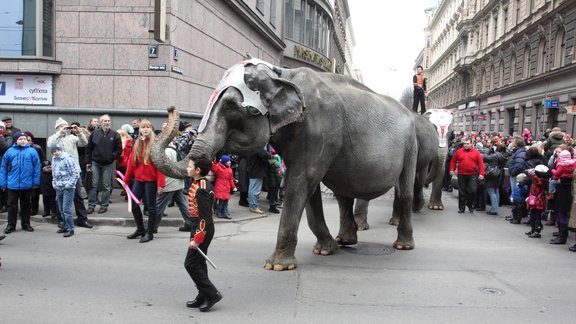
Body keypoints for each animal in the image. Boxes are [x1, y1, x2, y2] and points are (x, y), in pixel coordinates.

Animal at [151, 57, 416, 270]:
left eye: (232, 107)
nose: (170, 108)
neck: (283, 74)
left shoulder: (321, 128)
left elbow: (302, 180)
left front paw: (276, 266)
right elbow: (307, 187)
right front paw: (324, 250)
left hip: (410, 147)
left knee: (404, 192)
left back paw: (403, 246)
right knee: (344, 196)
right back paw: (345, 241)